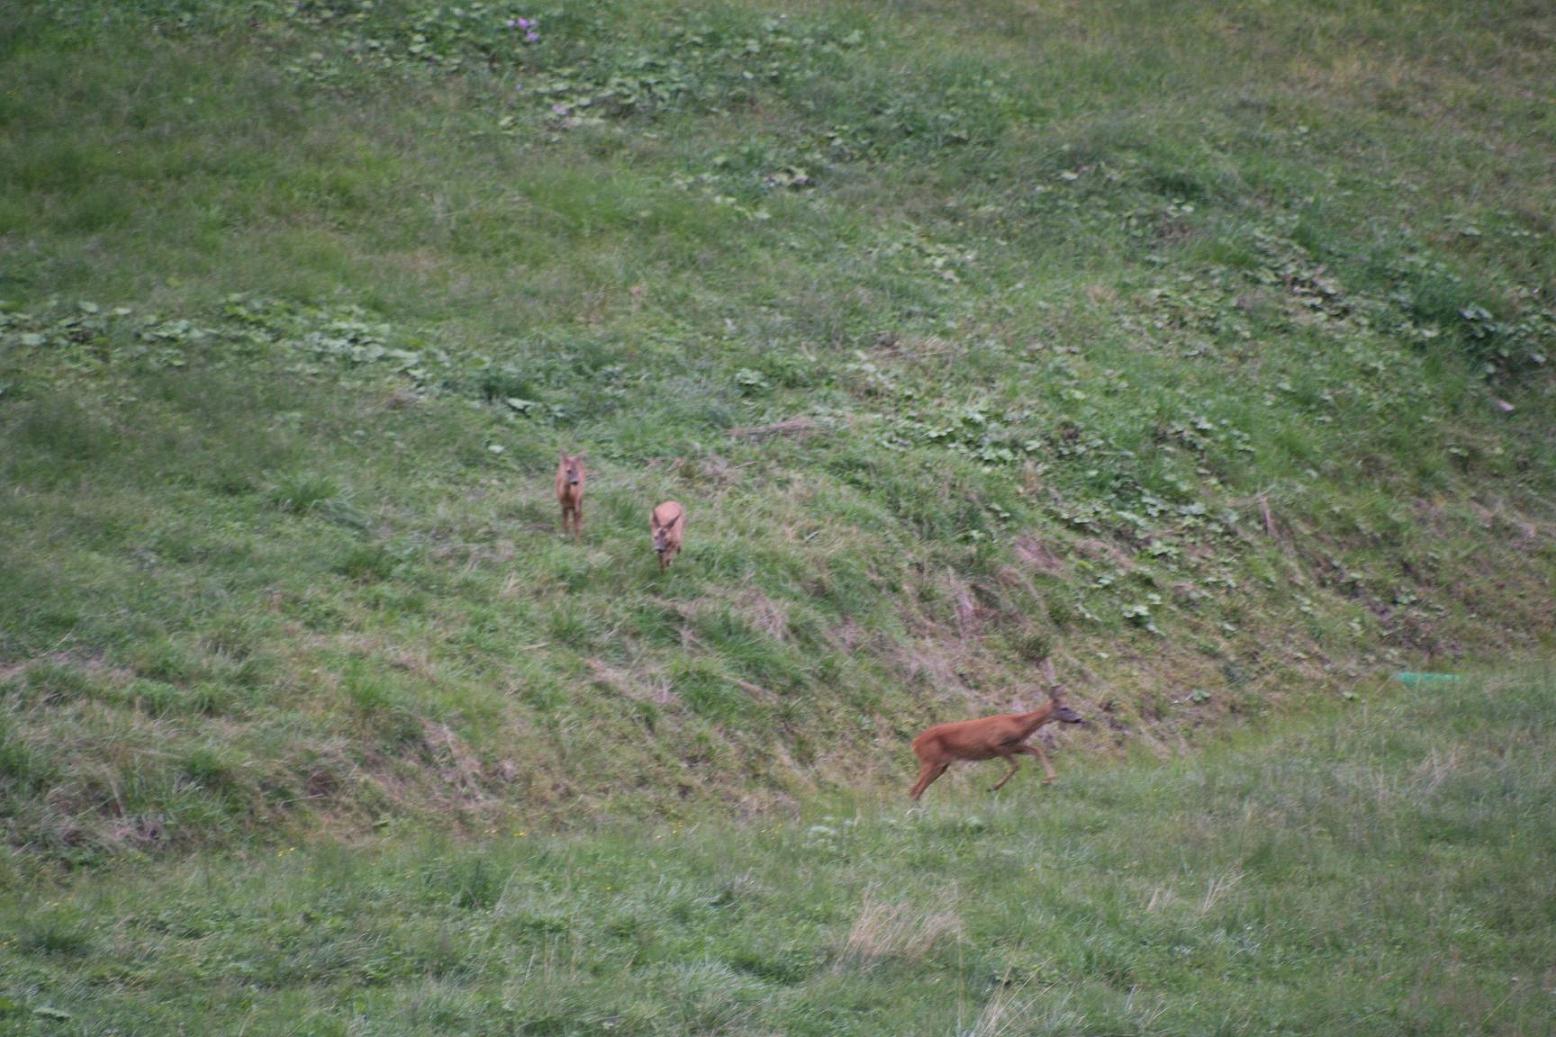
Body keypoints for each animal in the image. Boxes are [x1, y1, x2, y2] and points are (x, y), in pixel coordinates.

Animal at [908, 685, 1082, 797]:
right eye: (1065, 708)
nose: (1079, 719)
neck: (1018, 724)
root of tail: (915, 743)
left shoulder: (1015, 745)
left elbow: (1037, 750)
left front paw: (1048, 779)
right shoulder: (995, 743)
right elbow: (1016, 765)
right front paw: (993, 787)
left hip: (941, 764)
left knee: (918, 789)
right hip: (930, 760)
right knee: (914, 789)